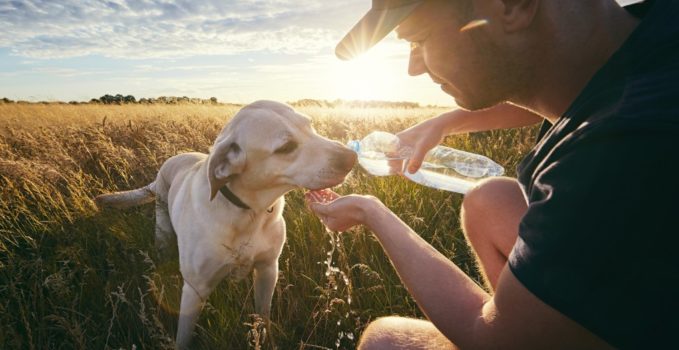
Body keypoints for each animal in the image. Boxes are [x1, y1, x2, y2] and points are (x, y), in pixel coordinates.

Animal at [97, 100, 358, 348]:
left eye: (310, 125)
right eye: (286, 147)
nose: (351, 157)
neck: (249, 213)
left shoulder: (268, 269)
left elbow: (264, 317)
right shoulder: (195, 289)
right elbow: (184, 335)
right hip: (162, 229)